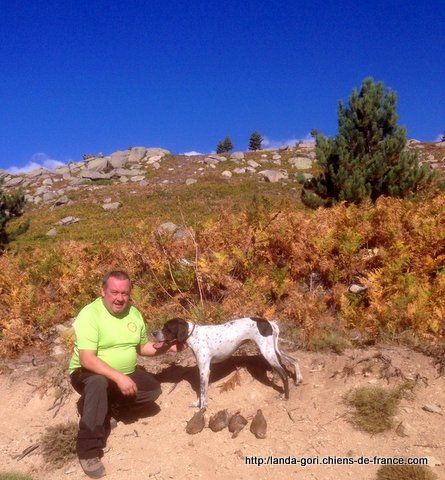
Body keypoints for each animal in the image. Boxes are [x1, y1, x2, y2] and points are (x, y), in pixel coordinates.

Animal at [153, 316, 302, 406]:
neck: (193, 335)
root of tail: (268, 322)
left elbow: (202, 392)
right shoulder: (204, 372)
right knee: (294, 360)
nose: (153, 333)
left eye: (167, 328)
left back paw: (286, 396)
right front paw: (197, 403)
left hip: (268, 353)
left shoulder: (204, 370)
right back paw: (298, 379)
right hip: (274, 350)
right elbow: (202, 391)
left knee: (284, 375)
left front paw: (202, 408)